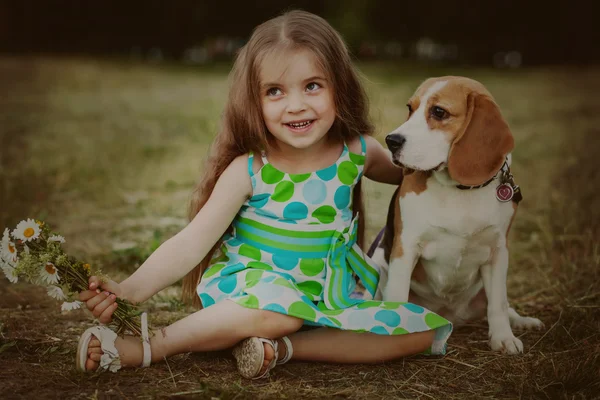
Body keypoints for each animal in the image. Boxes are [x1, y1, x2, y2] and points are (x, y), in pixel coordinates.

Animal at [372, 75, 548, 354]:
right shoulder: (405, 247)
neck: (459, 190)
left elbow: (498, 303)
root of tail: (449, 315)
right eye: (410, 108)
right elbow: (398, 296)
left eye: (439, 112)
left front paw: (503, 338)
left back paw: (522, 321)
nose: (391, 141)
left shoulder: (498, 251)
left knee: (502, 304)